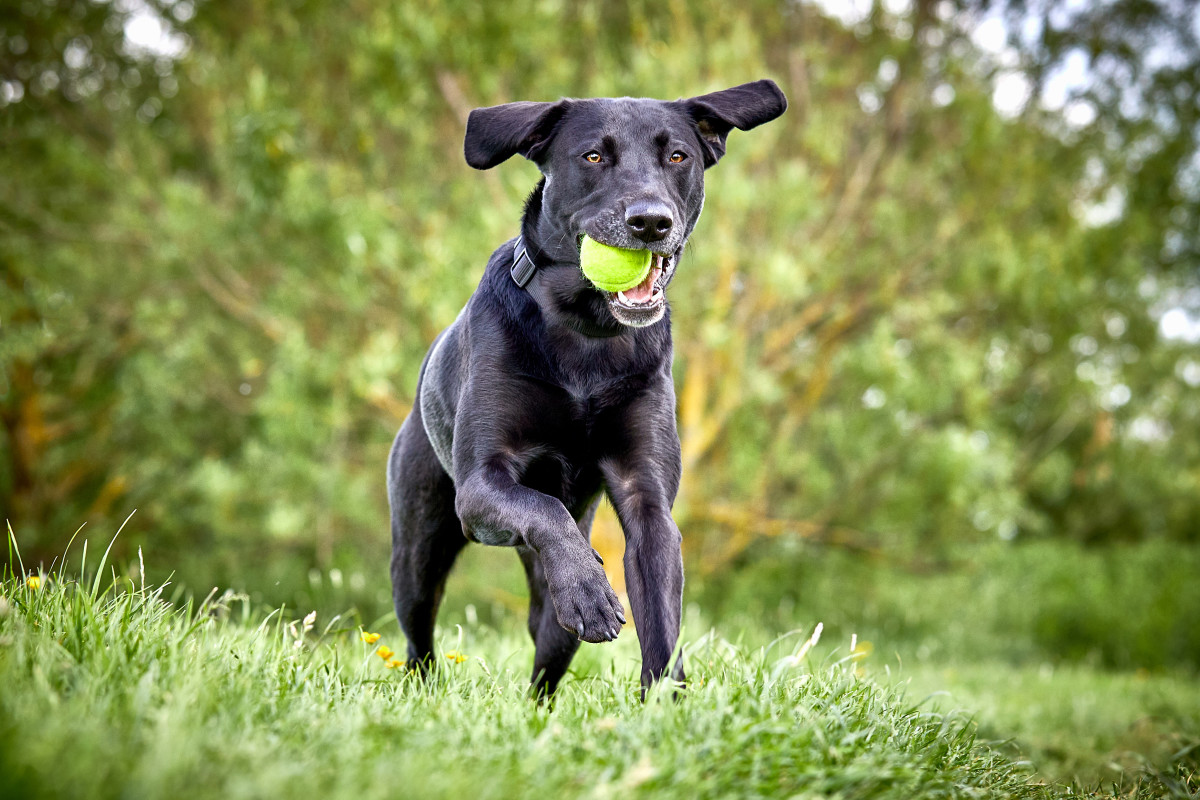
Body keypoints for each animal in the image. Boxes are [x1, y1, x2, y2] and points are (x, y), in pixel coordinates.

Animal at [388, 81, 787, 695]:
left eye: (679, 156)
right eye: (593, 156)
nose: (650, 222)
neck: (587, 332)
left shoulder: (647, 496)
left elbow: (662, 619)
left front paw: (666, 704)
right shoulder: (480, 486)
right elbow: (542, 506)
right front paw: (589, 591)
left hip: (547, 614)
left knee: (547, 653)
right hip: (419, 544)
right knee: (419, 632)